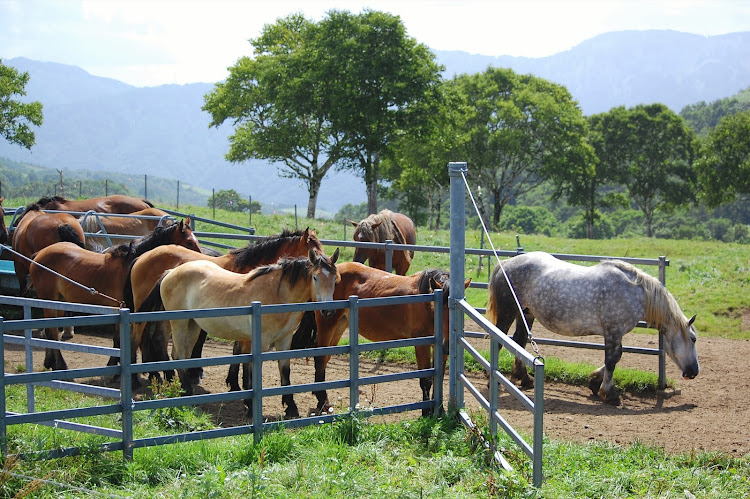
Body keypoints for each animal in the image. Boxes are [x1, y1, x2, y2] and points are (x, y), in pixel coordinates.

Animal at [29, 219, 201, 378]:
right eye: (189, 241)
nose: (201, 258)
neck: (133, 264)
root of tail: (39, 254)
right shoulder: (127, 308)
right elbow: (124, 339)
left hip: (58, 302)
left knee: (49, 330)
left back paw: (50, 363)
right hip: (50, 300)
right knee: (51, 333)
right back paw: (61, 366)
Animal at [139, 250, 344, 418]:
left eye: (335, 279)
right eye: (315, 278)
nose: (328, 311)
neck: (277, 295)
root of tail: (171, 272)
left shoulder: (284, 339)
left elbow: (284, 371)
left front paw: (291, 408)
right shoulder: (260, 341)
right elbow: (253, 371)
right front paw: (252, 409)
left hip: (193, 325)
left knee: (183, 355)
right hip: (179, 323)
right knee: (179, 355)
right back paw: (187, 393)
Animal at [310, 262, 472, 418]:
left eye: (455, 309)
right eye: (441, 309)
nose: (447, 346)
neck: (427, 302)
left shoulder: (440, 349)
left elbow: (439, 377)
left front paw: (440, 411)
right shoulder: (422, 344)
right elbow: (426, 379)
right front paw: (426, 413)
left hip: (340, 325)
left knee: (325, 359)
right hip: (327, 323)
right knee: (320, 359)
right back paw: (323, 402)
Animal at [484, 252, 704, 404]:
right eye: (693, 339)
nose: (694, 371)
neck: (636, 292)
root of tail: (504, 264)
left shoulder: (614, 333)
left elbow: (613, 359)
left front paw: (594, 382)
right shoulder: (613, 331)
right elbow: (613, 359)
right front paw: (609, 393)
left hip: (526, 314)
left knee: (519, 341)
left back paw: (525, 379)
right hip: (508, 313)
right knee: (500, 341)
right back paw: (493, 380)